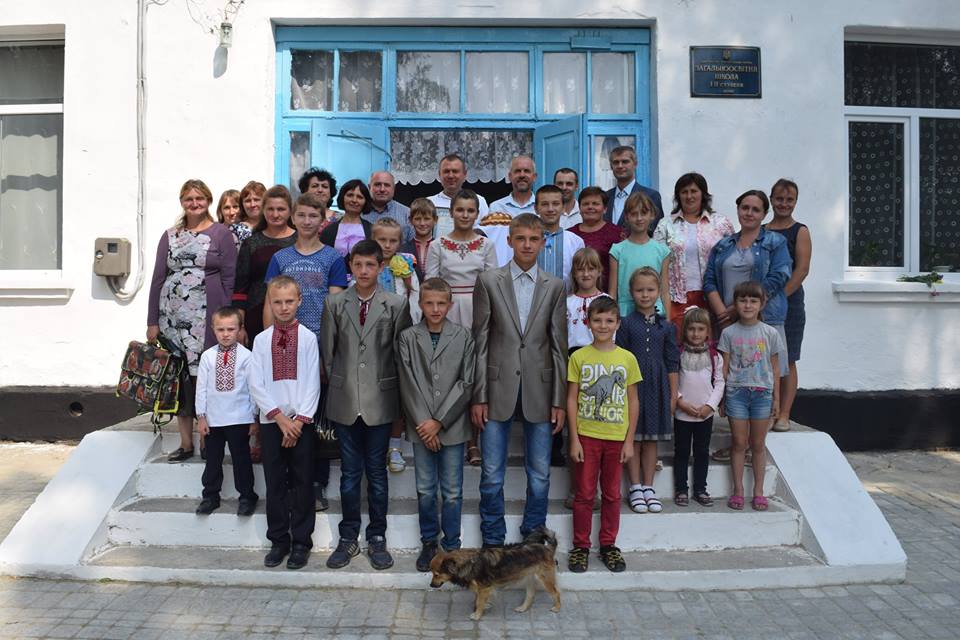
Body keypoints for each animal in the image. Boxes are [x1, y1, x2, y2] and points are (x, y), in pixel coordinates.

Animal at [429, 528, 561, 620]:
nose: (431, 585)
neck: (468, 562)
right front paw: (484, 607)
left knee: (556, 592)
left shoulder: (484, 588)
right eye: (433, 573)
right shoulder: (481, 588)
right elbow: (478, 599)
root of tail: (548, 548)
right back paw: (523, 608)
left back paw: (557, 608)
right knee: (530, 595)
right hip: (528, 578)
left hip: (545, 578)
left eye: (437, 574)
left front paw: (477, 614)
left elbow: (479, 601)